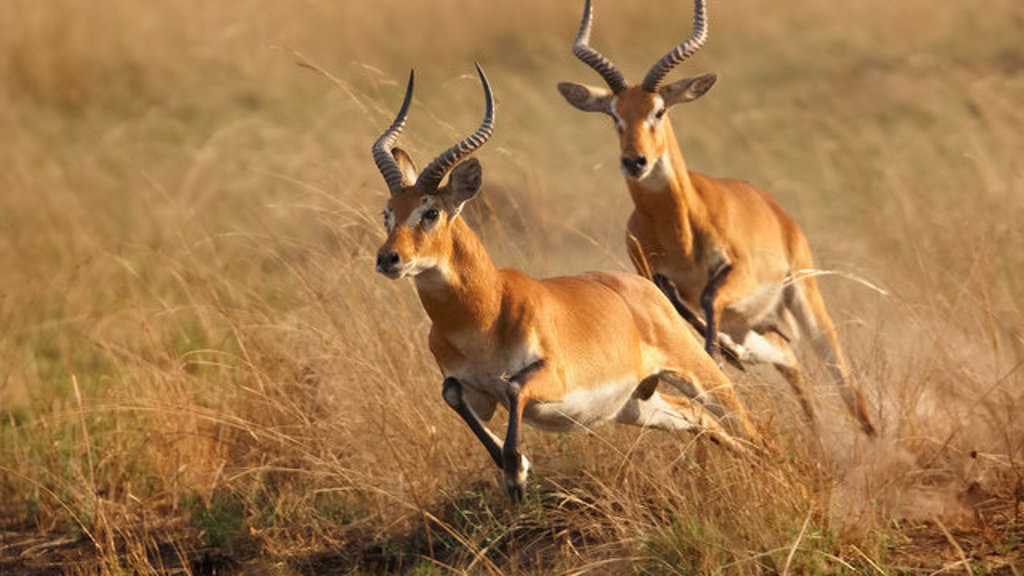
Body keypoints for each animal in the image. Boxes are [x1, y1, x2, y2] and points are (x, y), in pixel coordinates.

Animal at [371, 65, 763, 500]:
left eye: (431, 212)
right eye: (388, 212)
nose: (388, 258)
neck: (484, 313)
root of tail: (639, 286)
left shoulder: (550, 378)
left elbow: (514, 386)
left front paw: (516, 473)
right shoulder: (472, 391)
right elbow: (451, 392)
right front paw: (515, 465)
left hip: (698, 372)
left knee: (748, 425)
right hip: (634, 405)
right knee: (698, 418)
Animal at [557, 0, 877, 436]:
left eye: (659, 110)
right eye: (614, 115)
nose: (635, 161)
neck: (677, 232)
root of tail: (774, 207)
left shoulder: (735, 274)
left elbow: (709, 298)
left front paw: (719, 354)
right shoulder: (653, 280)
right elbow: (687, 309)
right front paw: (722, 354)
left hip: (803, 297)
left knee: (843, 380)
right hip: (753, 323)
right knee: (788, 358)